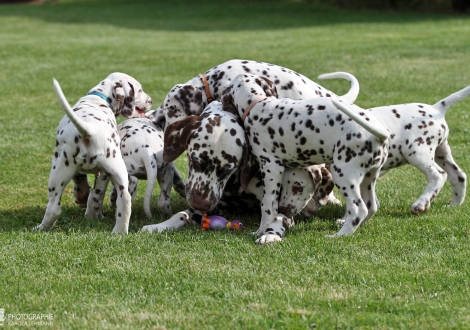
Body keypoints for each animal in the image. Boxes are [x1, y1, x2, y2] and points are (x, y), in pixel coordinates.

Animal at [38, 74, 154, 235]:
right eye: (140, 90)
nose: (151, 100)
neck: (98, 97)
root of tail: (89, 129)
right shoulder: (103, 173)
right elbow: (96, 193)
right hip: (114, 170)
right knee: (124, 200)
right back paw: (119, 232)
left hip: (59, 169)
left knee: (55, 207)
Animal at [141, 102, 336, 244]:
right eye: (195, 161)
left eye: (227, 169)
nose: (201, 204)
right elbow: (181, 214)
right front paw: (159, 226)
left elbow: (277, 219)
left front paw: (270, 234)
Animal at [222, 74, 392, 237]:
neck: (258, 105)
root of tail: (379, 135)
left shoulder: (271, 167)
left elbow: (268, 205)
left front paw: (261, 230)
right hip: (368, 178)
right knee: (371, 206)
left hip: (343, 174)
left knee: (358, 209)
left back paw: (340, 235)